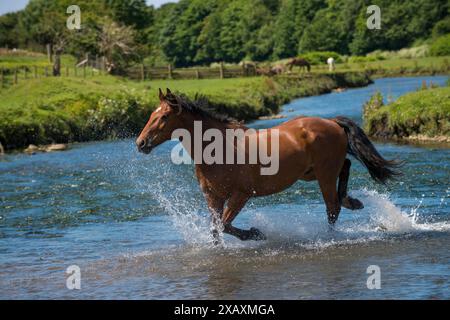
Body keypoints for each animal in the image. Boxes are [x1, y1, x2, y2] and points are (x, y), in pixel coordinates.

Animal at [137, 89, 400, 241]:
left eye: (163, 117)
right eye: (151, 114)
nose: (141, 143)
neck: (219, 149)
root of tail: (332, 122)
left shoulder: (241, 195)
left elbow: (225, 225)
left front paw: (255, 233)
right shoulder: (213, 197)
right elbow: (216, 230)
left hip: (324, 174)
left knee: (333, 207)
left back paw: (333, 230)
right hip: (312, 173)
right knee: (345, 168)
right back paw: (352, 201)